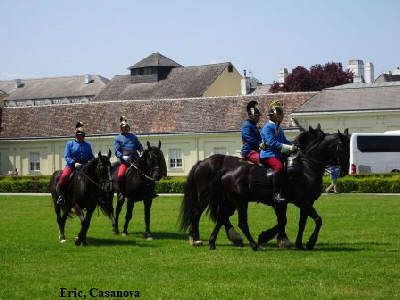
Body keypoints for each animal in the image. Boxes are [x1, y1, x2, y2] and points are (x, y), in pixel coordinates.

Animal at [180, 126, 348, 251]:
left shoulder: (304, 203)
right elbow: (315, 220)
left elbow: (297, 222)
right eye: (342, 147)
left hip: (230, 201)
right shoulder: (301, 202)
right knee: (203, 215)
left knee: (222, 218)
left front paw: (297, 243)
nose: (345, 170)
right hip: (227, 200)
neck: (306, 167)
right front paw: (308, 242)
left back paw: (215, 241)